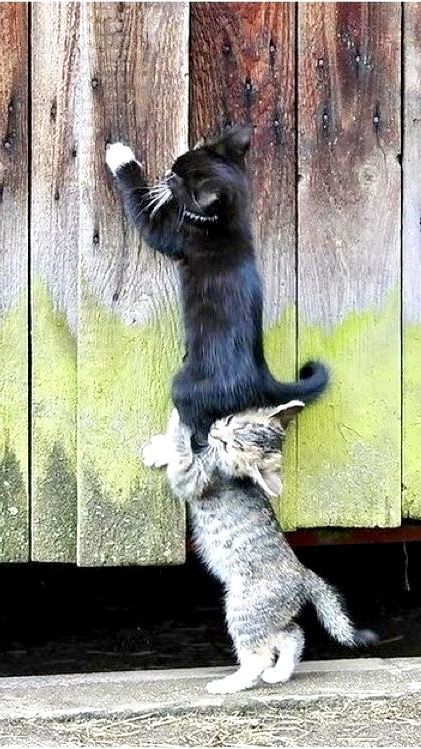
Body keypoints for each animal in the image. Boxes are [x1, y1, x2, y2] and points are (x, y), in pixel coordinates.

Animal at [106, 125, 328, 442]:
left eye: (177, 179)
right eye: (176, 164)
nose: (166, 174)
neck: (226, 222)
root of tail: (261, 379)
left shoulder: (174, 233)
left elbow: (144, 211)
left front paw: (121, 157)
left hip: (186, 387)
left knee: (199, 429)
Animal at [143, 406, 372, 692]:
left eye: (229, 445)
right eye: (230, 421)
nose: (213, 431)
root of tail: (304, 575)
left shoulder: (194, 479)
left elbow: (183, 453)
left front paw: (175, 427)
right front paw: (161, 448)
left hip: (244, 610)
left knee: (259, 656)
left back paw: (228, 684)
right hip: (267, 619)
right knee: (293, 635)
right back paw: (279, 674)